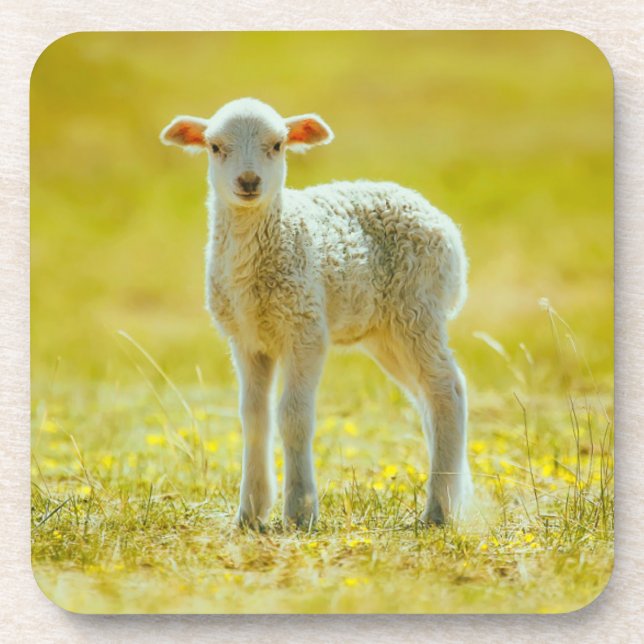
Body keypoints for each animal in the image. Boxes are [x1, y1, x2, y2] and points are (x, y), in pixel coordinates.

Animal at [160, 97, 472, 529]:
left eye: (278, 145)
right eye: (214, 147)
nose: (249, 181)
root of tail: (442, 222)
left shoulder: (305, 329)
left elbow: (293, 417)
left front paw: (299, 511)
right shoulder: (246, 339)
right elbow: (254, 419)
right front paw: (250, 512)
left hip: (418, 309)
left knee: (448, 390)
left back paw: (438, 511)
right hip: (386, 331)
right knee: (428, 397)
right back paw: (453, 496)